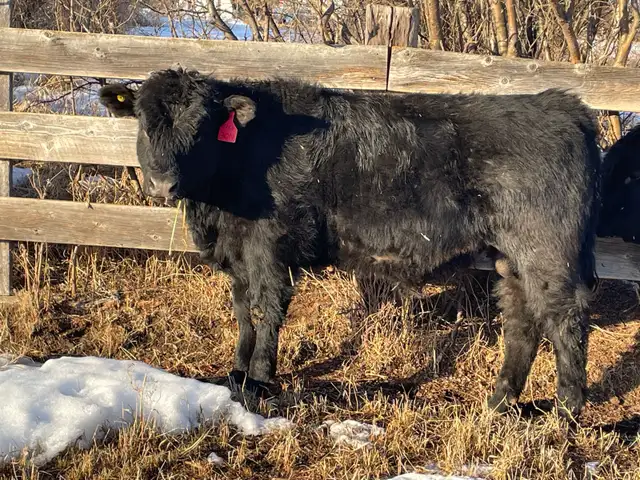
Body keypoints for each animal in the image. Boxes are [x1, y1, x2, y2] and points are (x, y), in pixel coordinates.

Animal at [99, 67, 601, 419]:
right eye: (143, 120)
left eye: (202, 125)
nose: (161, 185)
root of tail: (562, 105)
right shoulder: (239, 256)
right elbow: (243, 311)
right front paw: (237, 373)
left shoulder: (269, 249)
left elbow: (267, 309)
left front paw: (259, 381)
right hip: (510, 259)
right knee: (522, 322)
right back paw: (499, 402)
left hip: (546, 251)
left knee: (565, 320)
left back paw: (566, 410)